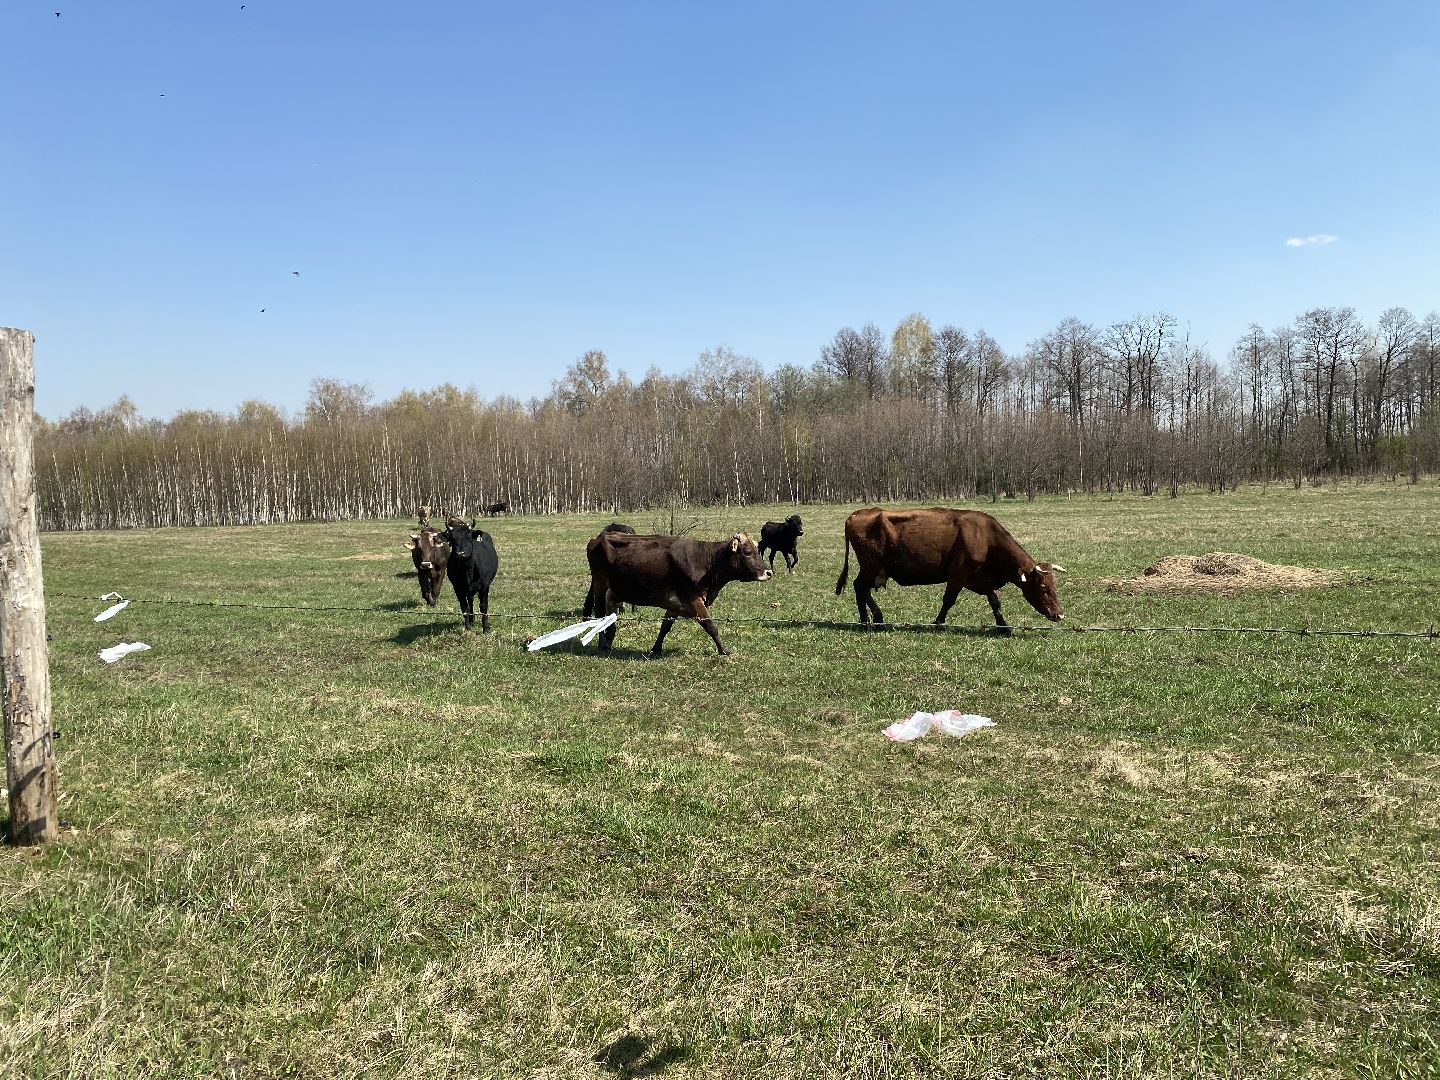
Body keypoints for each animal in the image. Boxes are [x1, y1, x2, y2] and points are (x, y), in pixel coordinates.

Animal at [586, 531, 773, 655]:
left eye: (757, 551)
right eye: (748, 552)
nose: (769, 572)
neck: (707, 561)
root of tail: (599, 537)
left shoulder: (676, 603)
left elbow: (665, 627)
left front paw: (656, 649)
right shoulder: (693, 599)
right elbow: (711, 625)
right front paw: (724, 650)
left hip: (614, 591)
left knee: (610, 614)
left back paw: (610, 640)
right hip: (600, 584)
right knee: (600, 614)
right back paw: (603, 644)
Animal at [835, 507, 1066, 630]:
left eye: (1055, 587)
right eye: (1044, 588)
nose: (1060, 615)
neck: (986, 538)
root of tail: (858, 514)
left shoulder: (980, 580)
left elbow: (995, 602)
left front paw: (1004, 626)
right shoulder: (957, 576)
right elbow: (949, 600)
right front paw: (938, 622)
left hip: (873, 569)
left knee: (861, 589)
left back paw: (869, 620)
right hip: (871, 567)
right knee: (859, 587)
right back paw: (871, 620)